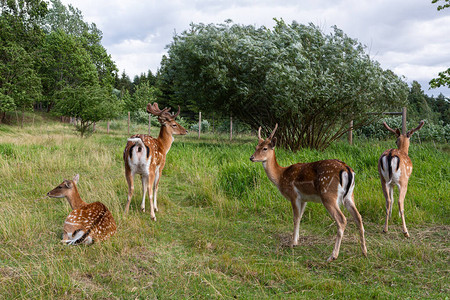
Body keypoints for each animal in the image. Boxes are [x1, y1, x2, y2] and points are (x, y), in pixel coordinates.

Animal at [250, 123, 370, 260]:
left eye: (265, 148)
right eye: (256, 147)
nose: (251, 157)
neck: (280, 176)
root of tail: (347, 170)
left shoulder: (293, 195)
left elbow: (295, 217)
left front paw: (292, 243)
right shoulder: (304, 199)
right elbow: (300, 217)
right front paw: (296, 240)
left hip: (328, 195)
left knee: (342, 220)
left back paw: (333, 256)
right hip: (349, 195)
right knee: (358, 217)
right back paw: (364, 252)